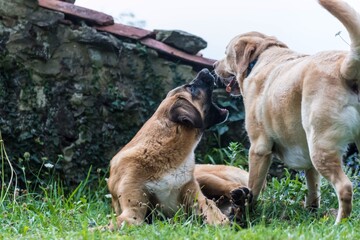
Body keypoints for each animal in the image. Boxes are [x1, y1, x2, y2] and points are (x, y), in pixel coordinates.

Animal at [107, 68, 250, 230]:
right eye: (190, 88)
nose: (205, 70)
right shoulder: (132, 213)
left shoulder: (192, 190)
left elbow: (210, 207)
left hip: (203, 176)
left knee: (232, 187)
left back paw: (239, 197)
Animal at [214, 0, 360, 224]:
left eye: (225, 52)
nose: (213, 65)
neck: (262, 56)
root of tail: (344, 67)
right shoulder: (307, 161)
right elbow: (313, 189)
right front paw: (311, 213)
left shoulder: (259, 149)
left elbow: (253, 188)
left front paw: (245, 213)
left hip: (321, 147)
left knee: (344, 187)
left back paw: (338, 225)